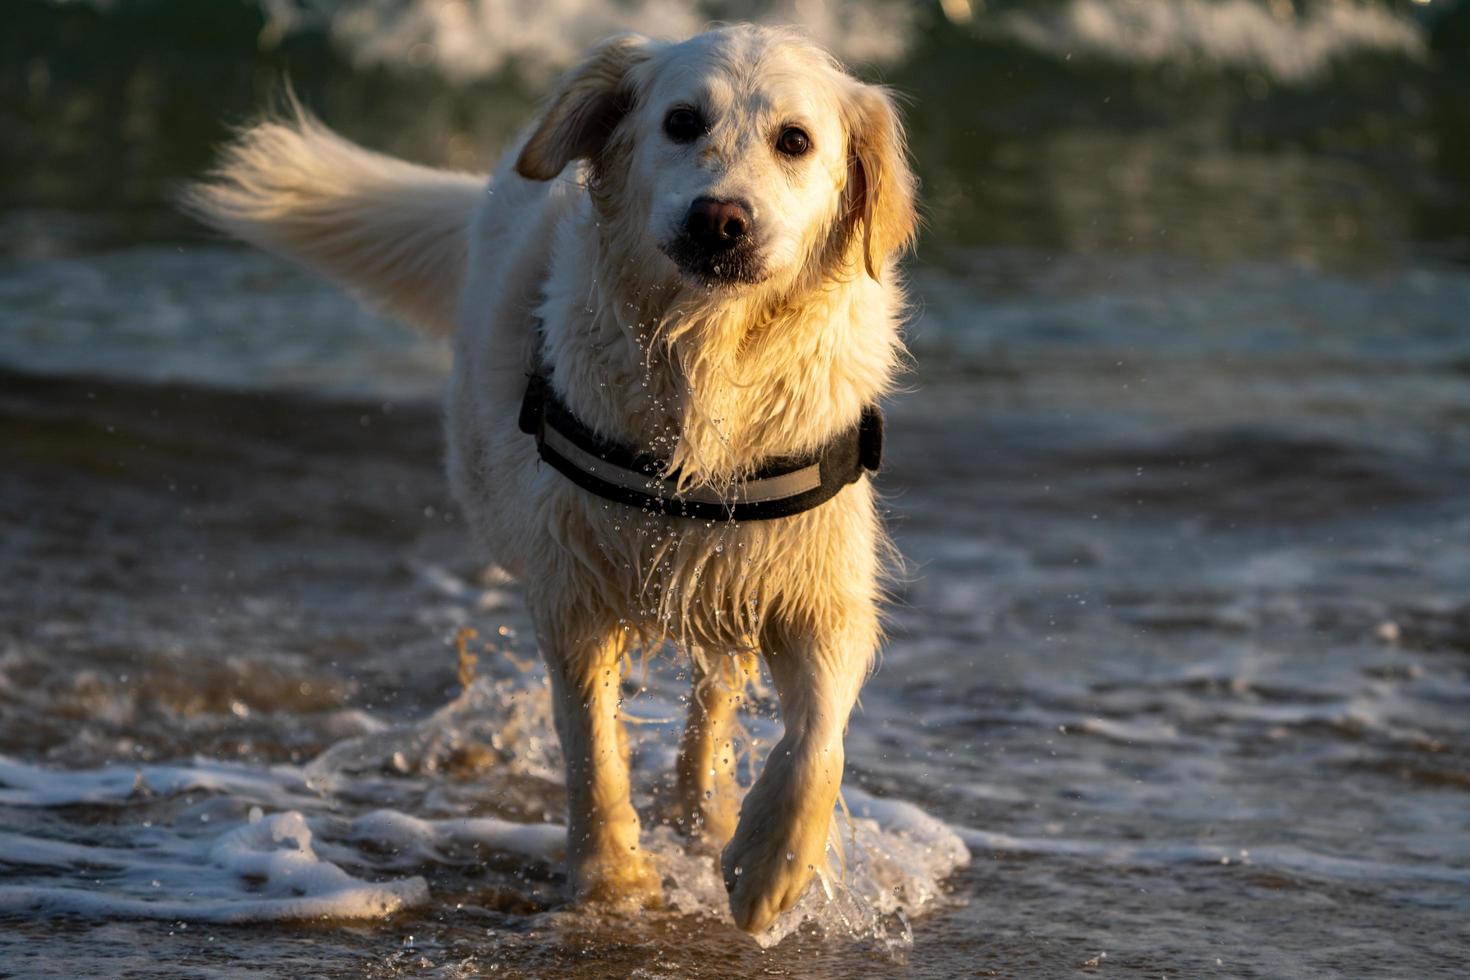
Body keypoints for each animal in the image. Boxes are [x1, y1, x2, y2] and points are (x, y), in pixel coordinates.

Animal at [189, 22, 911, 934]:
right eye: (681, 121)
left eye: (795, 141)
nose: (720, 220)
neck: (708, 355)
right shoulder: (574, 583)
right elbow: (592, 747)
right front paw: (613, 883)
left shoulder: (816, 576)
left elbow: (819, 736)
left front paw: (770, 865)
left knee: (716, 685)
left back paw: (705, 811)